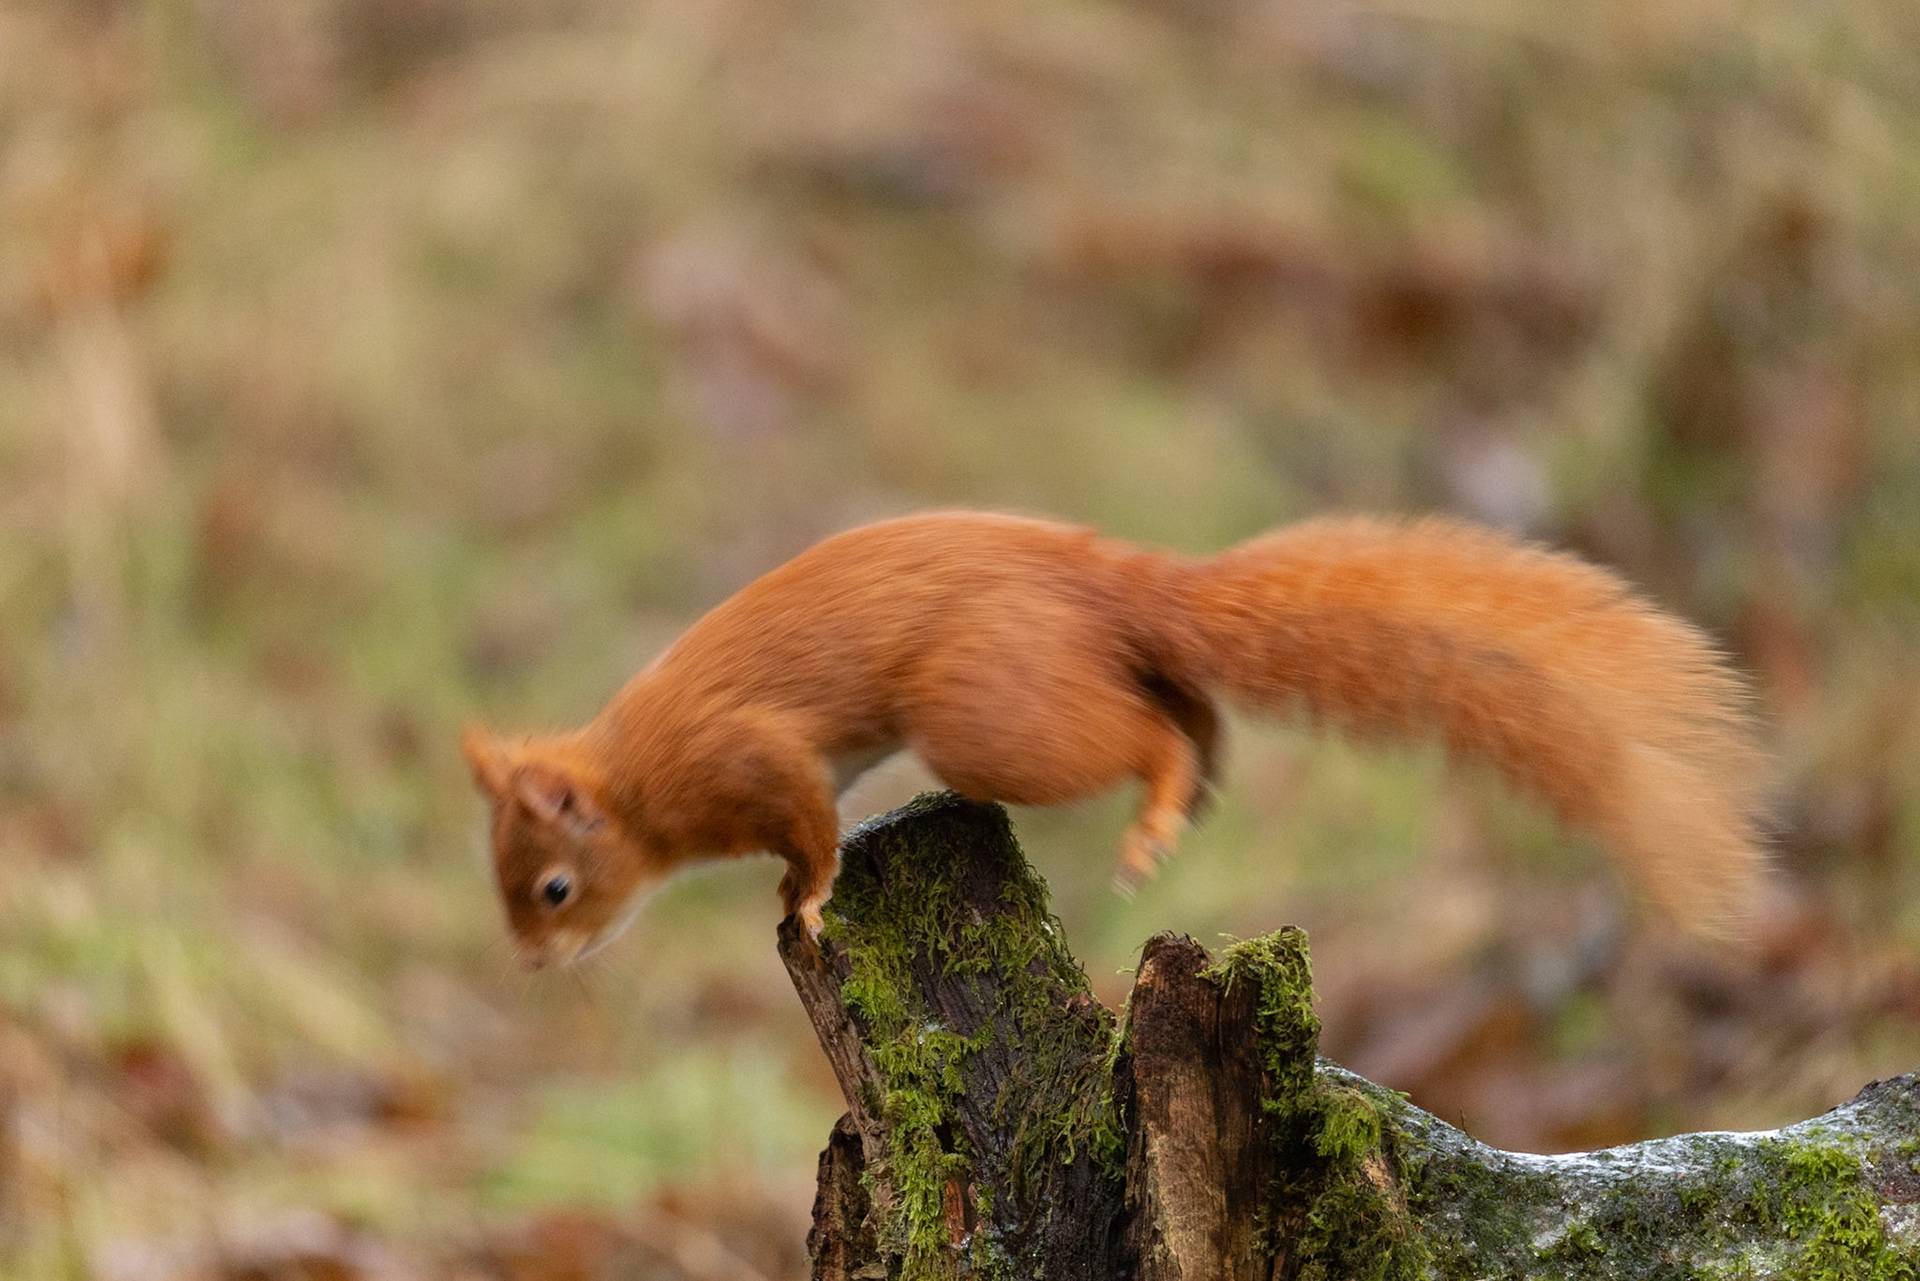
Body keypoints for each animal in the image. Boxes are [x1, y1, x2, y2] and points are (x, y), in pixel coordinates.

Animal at [462, 511, 1768, 967]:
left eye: (554, 886)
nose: (531, 965)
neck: (637, 782)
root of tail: (1107, 581)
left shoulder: (749, 758)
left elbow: (813, 832)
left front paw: (810, 898)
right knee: (1193, 711)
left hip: (988, 716)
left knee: (1149, 733)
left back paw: (1155, 812)